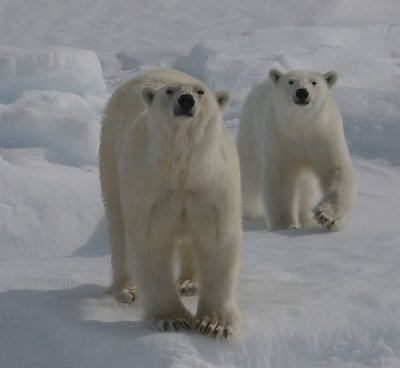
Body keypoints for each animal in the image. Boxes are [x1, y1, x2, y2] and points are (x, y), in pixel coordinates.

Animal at [100, 69, 244, 340]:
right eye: (169, 91)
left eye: (200, 91)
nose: (186, 100)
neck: (180, 168)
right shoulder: (148, 188)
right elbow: (150, 242)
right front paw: (173, 319)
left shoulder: (211, 187)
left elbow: (217, 240)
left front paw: (214, 323)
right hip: (111, 152)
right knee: (117, 225)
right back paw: (126, 289)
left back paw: (189, 283)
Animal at [238, 68, 356, 230]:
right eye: (291, 81)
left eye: (314, 82)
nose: (302, 92)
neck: (302, 125)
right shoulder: (280, 136)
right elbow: (281, 178)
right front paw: (286, 224)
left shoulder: (324, 134)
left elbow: (336, 170)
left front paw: (325, 216)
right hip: (251, 133)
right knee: (251, 179)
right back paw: (253, 214)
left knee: (306, 186)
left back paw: (306, 218)